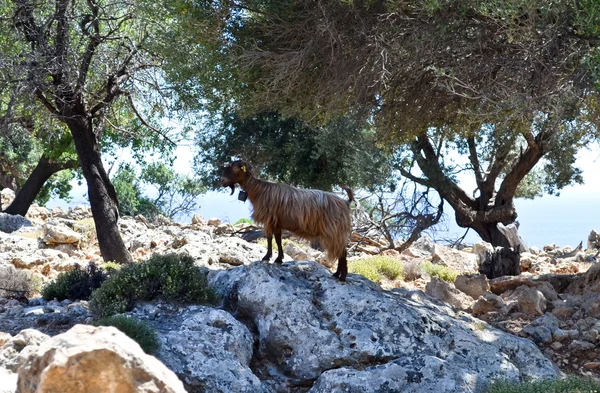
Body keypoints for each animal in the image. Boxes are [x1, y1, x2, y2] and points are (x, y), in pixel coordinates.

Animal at [221, 161, 354, 280]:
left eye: (235, 167)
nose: (222, 181)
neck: (259, 190)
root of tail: (346, 202)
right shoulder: (277, 222)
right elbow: (278, 239)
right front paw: (279, 259)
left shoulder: (269, 219)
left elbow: (269, 238)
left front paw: (266, 257)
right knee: (341, 251)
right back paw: (337, 274)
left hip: (335, 230)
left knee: (342, 252)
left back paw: (342, 276)